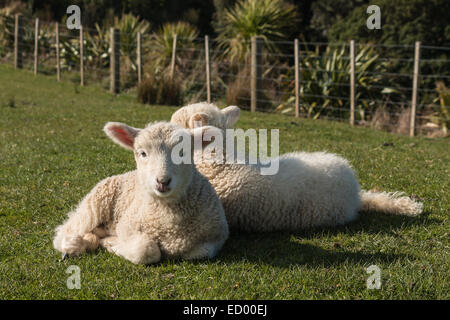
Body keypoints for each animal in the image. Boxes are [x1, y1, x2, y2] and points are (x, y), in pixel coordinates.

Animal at [52, 121, 229, 264]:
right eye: (142, 153)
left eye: (182, 153)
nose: (162, 181)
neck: (169, 222)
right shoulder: (126, 226)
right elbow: (145, 250)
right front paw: (111, 243)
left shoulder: (216, 237)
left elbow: (201, 253)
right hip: (96, 202)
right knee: (66, 229)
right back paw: (73, 244)